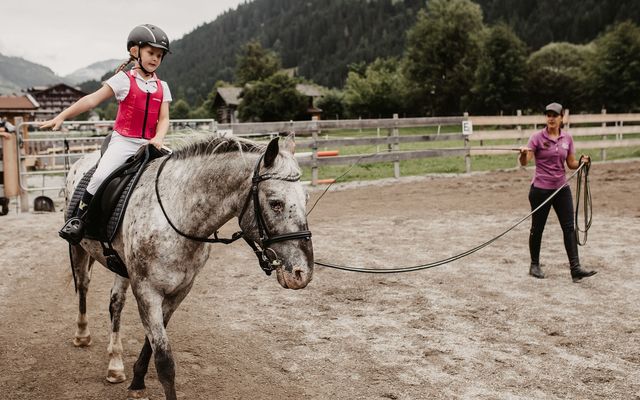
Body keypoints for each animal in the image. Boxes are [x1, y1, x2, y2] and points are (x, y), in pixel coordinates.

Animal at [65, 135, 316, 400]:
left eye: (306, 199)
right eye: (276, 203)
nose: (302, 273)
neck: (176, 215)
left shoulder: (180, 290)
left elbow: (151, 343)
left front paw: (137, 379)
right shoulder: (146, 291)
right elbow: (165, 363)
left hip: (121, 268)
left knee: (116, 304)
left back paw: (115, 365)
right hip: (78, 249)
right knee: (83, 285)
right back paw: (82, 335)